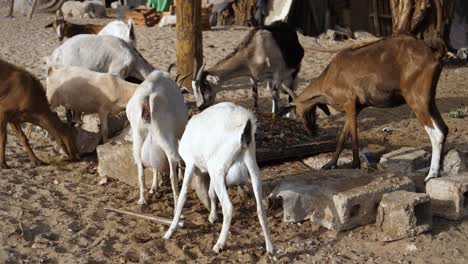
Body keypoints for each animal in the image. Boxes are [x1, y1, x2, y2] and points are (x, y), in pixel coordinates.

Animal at [127, 70, 189, 206]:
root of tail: (147, 98)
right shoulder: (180, 133)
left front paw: (154, 187)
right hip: (165, 138)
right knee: (172, 171)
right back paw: (177, 203)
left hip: (138, 139)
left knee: (140, 171)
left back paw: (142, 200)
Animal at [165, 101, 274, 254]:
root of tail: (244, 129)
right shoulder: (211, 173)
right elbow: (211, 192)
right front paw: (212, 217)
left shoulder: (191, 163)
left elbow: (183, 195)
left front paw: (170, 231)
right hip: (251, 168)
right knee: (260, 208)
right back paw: (270, 248)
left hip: (217, 168)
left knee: (228, 207)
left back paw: (219, 244)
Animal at [284, 35, 448, 182]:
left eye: (296, 113)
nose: (312, 132)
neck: (329, 76)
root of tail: (433, 53)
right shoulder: (355, 109)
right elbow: (343, 137)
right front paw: (330, 164)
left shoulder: (350, 105)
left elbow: (353, 137)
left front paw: (354, 164)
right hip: (429, 101)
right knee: (444, 129)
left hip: (417, 100)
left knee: (437, 133)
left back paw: (431, 174)